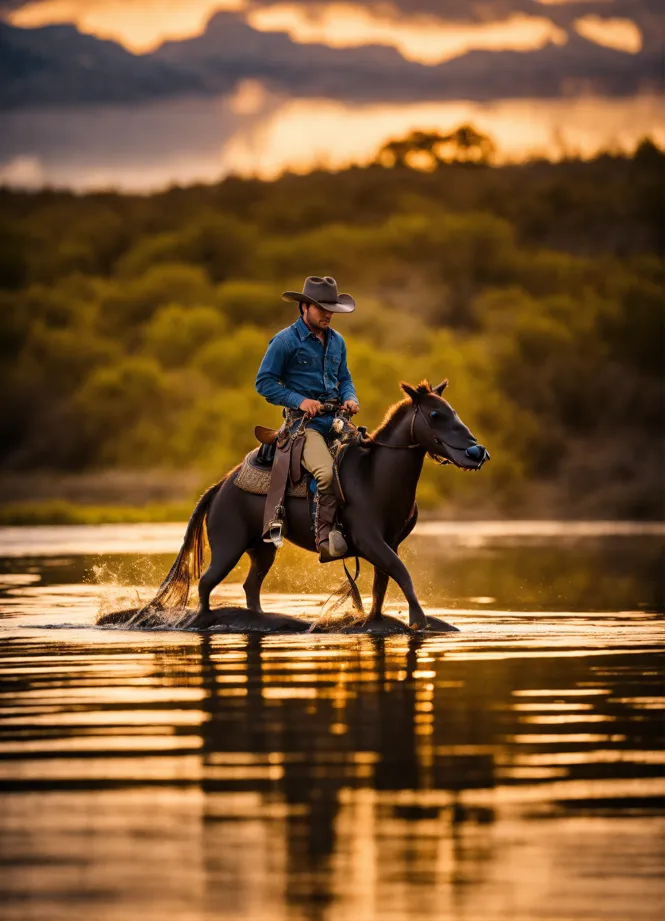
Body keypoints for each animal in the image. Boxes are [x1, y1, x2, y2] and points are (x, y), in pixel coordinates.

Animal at [102, 380, 488, 632]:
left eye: (453, 412)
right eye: (436, 415)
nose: (476, 451)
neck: (375, 476)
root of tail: (219, 487)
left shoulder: (388, 543)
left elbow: (382, 585)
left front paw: (378, 621)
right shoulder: (370, 542)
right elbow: (402, 574)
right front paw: (420, 621)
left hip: (261, 549)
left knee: (250, 588)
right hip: (228, 546)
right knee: (206, 586)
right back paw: (203, 622)